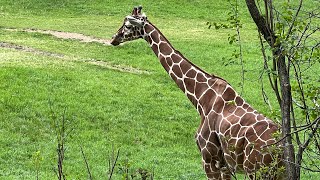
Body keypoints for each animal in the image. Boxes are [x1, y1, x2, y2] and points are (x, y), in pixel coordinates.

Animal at [110, 6, 282, 179]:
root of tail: (280, 149)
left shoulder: (209, 158)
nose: (113, 39)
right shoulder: (225, 166)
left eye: (127, 26)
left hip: (256, 171)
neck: (201, 97)